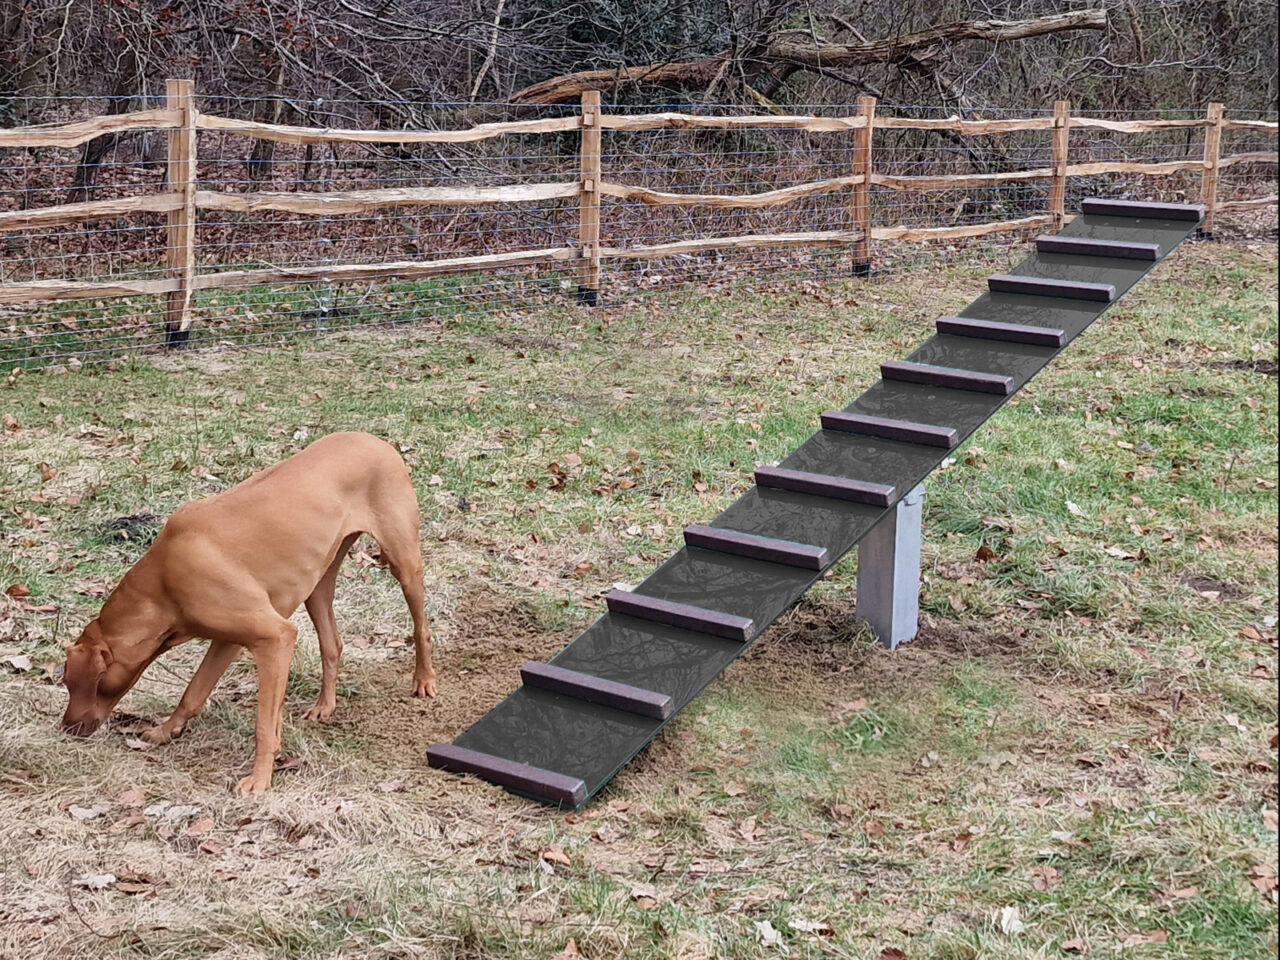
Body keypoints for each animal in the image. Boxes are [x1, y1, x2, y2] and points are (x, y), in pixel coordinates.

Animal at [60, 432, 437, 793]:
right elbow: (193, 695)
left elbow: (263, 725)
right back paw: (325, 706)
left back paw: (424, 680)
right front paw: (166, 731)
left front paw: (260, 780)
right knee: (332, 644)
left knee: (421, 624)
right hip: (317, 585)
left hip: (404, 562)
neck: (165, 581)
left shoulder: (276, 639)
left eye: (70, 683)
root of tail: (378, 441)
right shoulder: (227, 641)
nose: (65, 728)